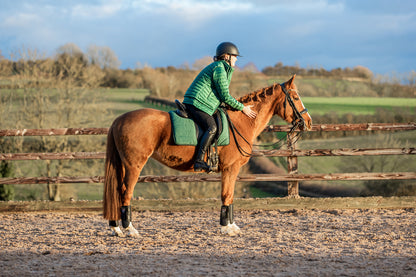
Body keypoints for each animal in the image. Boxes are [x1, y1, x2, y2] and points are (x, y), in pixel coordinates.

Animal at [104, 74, 312, 236]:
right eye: (295, 97)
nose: (308, 122)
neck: (242, 121)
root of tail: (119, 120)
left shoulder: (231, 170)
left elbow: (230, 196)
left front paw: (231, 225)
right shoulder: (230, 168)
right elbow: (227, 195)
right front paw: (226, 228)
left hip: (124, 165)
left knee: (117, 191)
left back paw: (116, 228)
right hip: (134, 165)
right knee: (125, 192)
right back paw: (129, 229)